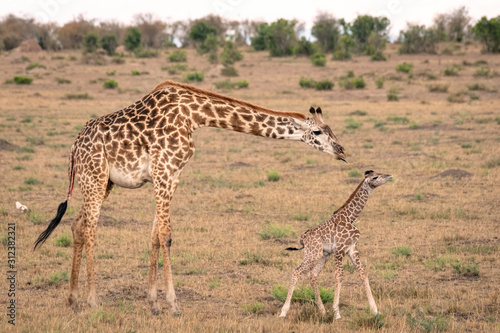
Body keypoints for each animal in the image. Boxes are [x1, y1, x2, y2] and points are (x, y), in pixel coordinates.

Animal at [34, 80, 348, 314]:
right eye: (318, 132)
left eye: (332, 130)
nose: (342, 151)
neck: (195, 115)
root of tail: (74, 146)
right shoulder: (164, 171)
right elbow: (167, 236)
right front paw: (173, 305)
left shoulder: (171, 176)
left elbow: (155, 235)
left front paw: (153, 304)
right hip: (95, 177)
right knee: (89, 227)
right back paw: (92, 300)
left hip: (102, 182)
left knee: (77, 224)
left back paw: (73, 299)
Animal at [280, 170, 392, 318]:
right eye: (375, 177)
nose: (389, 176)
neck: (351, 217)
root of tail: (302, 238)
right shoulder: (340, 249)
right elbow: (339, 276)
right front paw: (336, 313)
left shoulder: (352, 249)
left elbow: (363, 273)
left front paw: (375, 310)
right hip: (313, 253)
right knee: (296, 271)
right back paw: (283, 311)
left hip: (323, 255)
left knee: (312, 274)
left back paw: (322, 311)